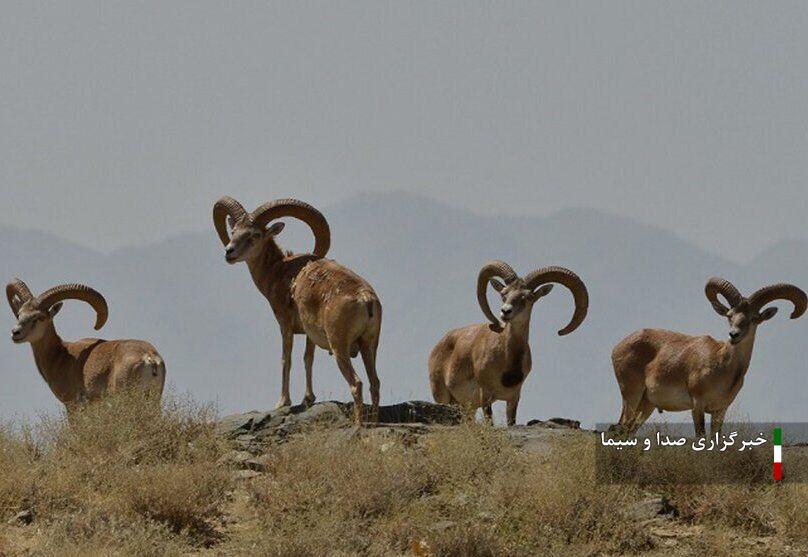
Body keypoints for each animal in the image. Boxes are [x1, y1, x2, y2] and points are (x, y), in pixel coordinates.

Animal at [5, 278, 167, 408]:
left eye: (40, 317)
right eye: (19, 314)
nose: (15, 333)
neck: (60, 356)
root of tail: (149, 358)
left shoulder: (72, 404)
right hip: (154, 400)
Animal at [211, 195, 382, 422]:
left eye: (255, 234)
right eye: (234, 232)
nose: (229, 252)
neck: (280, 270)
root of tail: (366, 299)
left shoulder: (285, 324)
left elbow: (287, 359)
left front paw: (283, 402)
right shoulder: (310, 334)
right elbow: (307, 359)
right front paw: (308, 399)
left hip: (340, 347)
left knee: (357, 384)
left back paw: (358, 424)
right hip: (369, 346)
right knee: (375, 383)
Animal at [430, 260, 588, 426]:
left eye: (528, 297)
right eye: (504, 294)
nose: (505, 312)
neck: (507, 360)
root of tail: (438, 347)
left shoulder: (513, 398)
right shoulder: (485, 395)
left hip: (467, 407)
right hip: (443, 397)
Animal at [612, 276, 808, 434]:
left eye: (754, 318)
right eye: (730, 315)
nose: (734, 335)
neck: (722, 366)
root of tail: (617, 348)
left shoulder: (720, 410)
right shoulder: (698, 405)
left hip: (646, 405)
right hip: (631, 395)